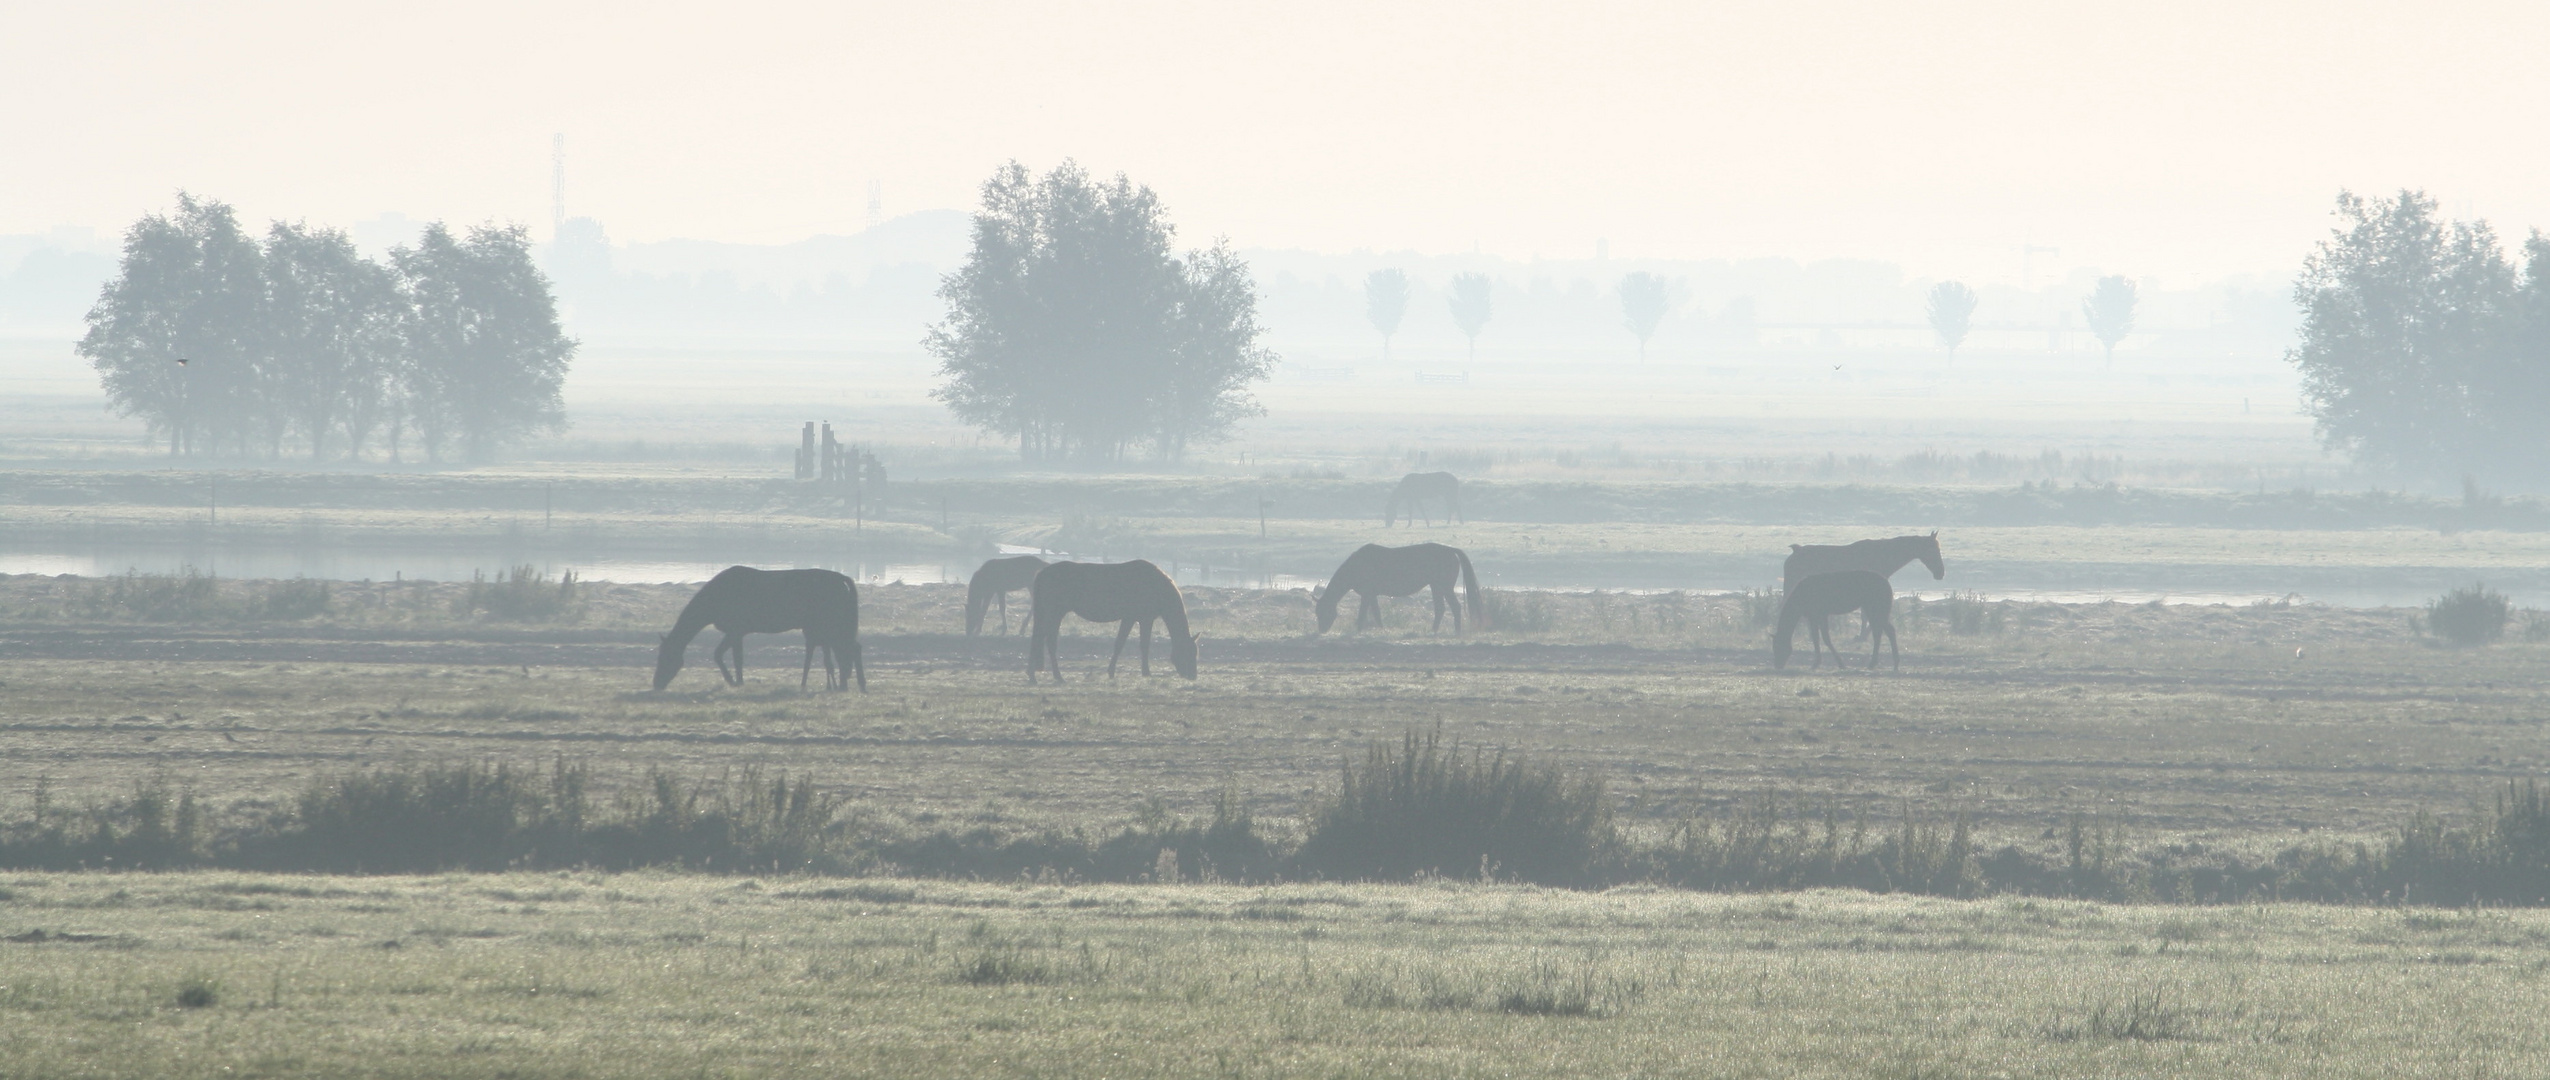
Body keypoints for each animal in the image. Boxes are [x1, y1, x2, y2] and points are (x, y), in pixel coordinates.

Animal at [657, 565, 867, 692]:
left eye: (666, 657)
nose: (656, 683)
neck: (714, 601)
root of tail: (843, 579)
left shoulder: (735, 630)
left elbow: (728, 657)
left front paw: (735, 681)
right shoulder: (737, 632)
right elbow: (731, 657)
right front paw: (736, 681)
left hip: (834, 623)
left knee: (848, 651)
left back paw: (851, 685)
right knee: (849, 650)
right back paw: (853, 685)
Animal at [1020, 557, 1198, 682]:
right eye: (1190, 652)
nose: (1193, 676)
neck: (1156, 587)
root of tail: (1042, 573)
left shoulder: (1132, 618)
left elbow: (1121, 644)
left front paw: (1112, 671)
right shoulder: (1142, 619)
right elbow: (1140, 645)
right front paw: (1145, 672)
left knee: (1039, 638)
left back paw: (1034, 674)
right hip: (1054, 613)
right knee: (1047, 640)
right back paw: (1055, 676)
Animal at [1315, 540, 1489, 631]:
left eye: (1323, 611)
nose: (1321, 630)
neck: (1357, 565)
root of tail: (1450, 549)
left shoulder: (1366, 594)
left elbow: (1363, 613)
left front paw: (1358, 630)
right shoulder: (1371, 594)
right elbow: (1376, 613)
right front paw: (1382, 630)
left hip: (1444, 587)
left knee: (1455, 607)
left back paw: (1456, 632)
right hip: (1436, 586)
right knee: (1441, 608)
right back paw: (1433, 631)